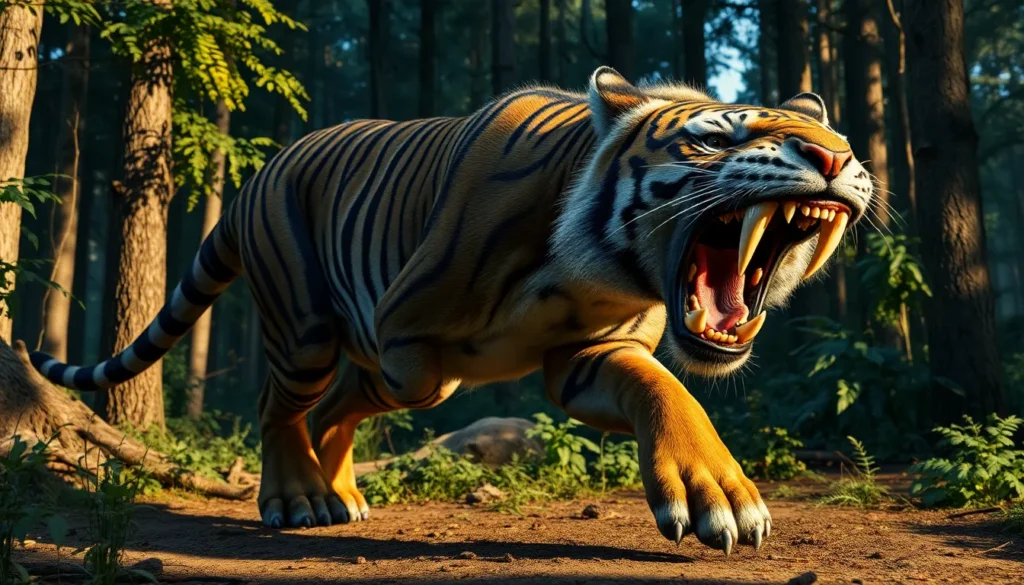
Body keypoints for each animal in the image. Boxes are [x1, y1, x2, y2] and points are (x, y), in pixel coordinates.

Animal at [29, 66, 872, 554]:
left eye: (832, 136)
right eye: (714, 137)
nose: (836, 157)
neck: (598, 273)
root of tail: (251, 182)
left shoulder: (590, 356)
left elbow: (667, 390)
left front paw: (718, 491)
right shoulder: (408, 339)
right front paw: (720, 499)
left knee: (334, 405)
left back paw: (338, 494)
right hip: (306, 330)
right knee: (284, 403)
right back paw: (297, 497)